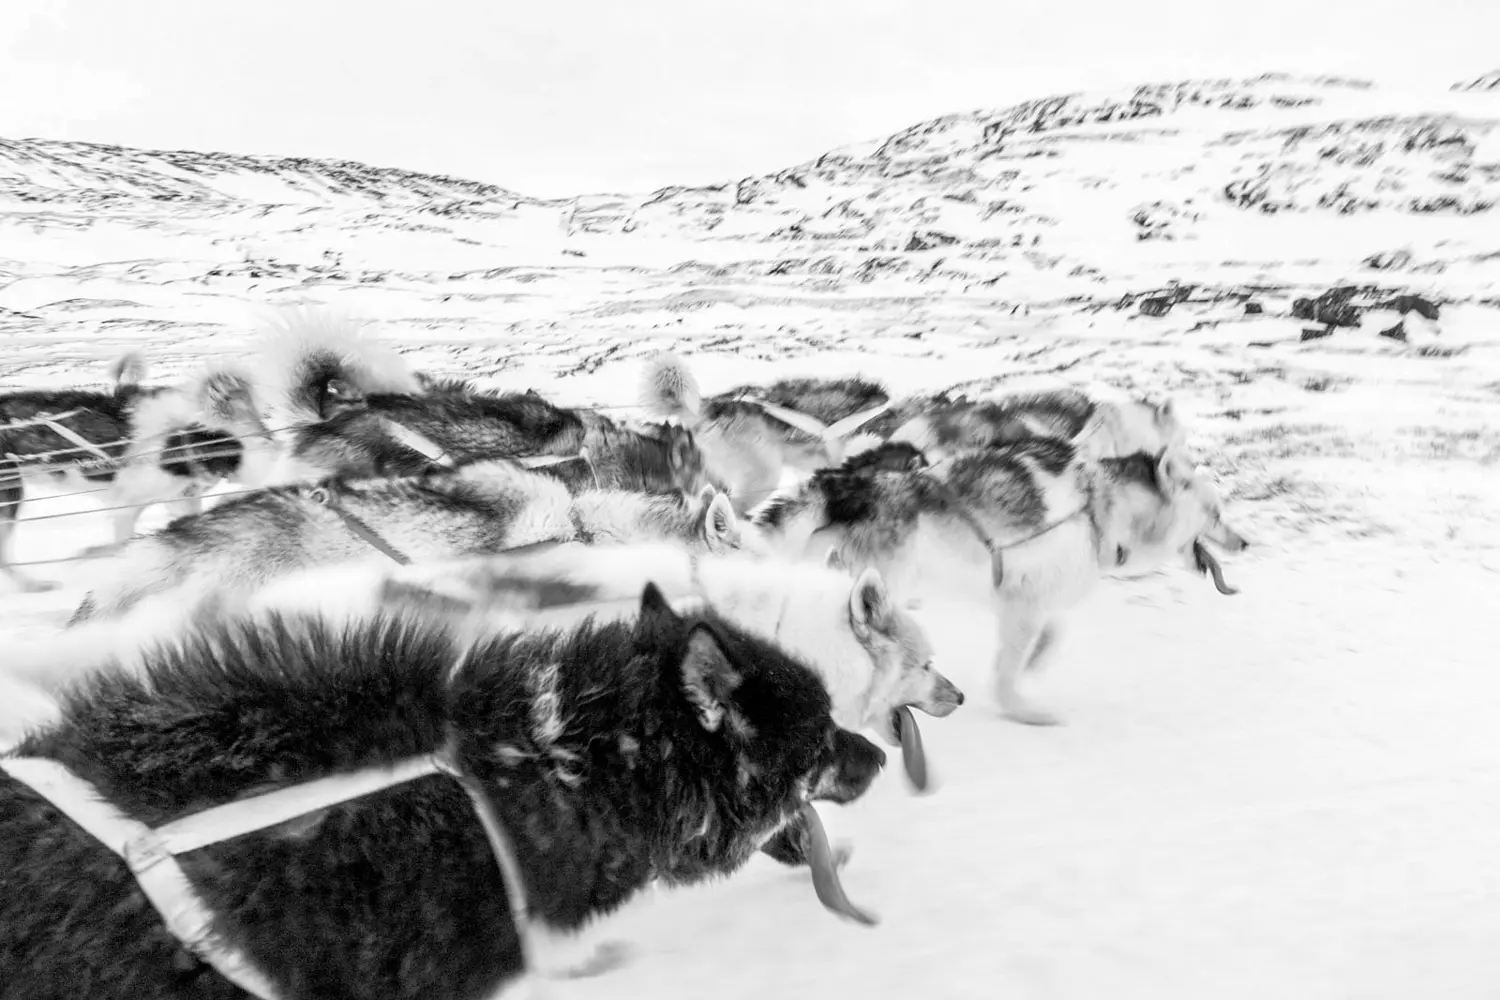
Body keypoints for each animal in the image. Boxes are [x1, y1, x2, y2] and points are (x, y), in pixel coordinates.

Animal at [750, 440, 1242, 722]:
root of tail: (848, 487)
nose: (1245, 542)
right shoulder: (1021, 602)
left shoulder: (1031, 597)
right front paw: (1022, 710)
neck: (1098, 510)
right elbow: (1008, 670)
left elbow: (1049, 637)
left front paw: (1036, 664)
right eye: (1216, 513)